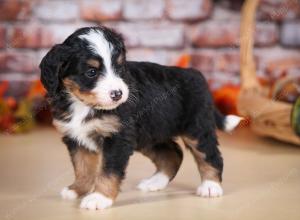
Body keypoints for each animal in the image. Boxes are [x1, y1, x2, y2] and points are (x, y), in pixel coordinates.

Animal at [39, 26, 241, 211]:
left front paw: (99, 198)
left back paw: (210, 186)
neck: (83, 105)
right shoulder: (75, 137)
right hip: (150, 135)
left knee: (210, 155)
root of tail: (196, 74)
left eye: (119, 67)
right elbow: (83, 168)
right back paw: (155, 182)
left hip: (196, 128)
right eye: (91, 72)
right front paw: (77, 190)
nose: (118, 94)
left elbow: (108, 171)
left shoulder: (117, 138)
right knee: (173, 153)